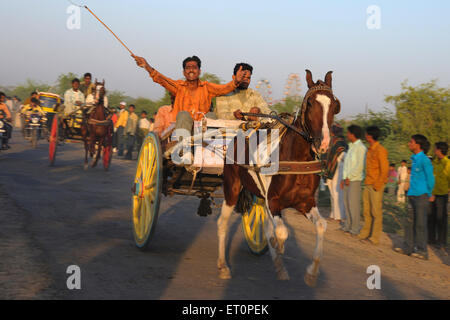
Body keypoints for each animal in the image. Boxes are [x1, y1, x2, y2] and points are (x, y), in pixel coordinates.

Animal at [218, 69, 342, 284]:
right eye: (310, 103)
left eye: (334, 105)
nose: (324, 143)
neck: (295, 161)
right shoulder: (273, 202)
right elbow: (281, 232)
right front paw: (278, 247)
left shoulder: (305, 202)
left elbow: (321, 226)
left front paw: (311, 272)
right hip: (231, 189)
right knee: (222, 223)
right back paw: (223, 266)